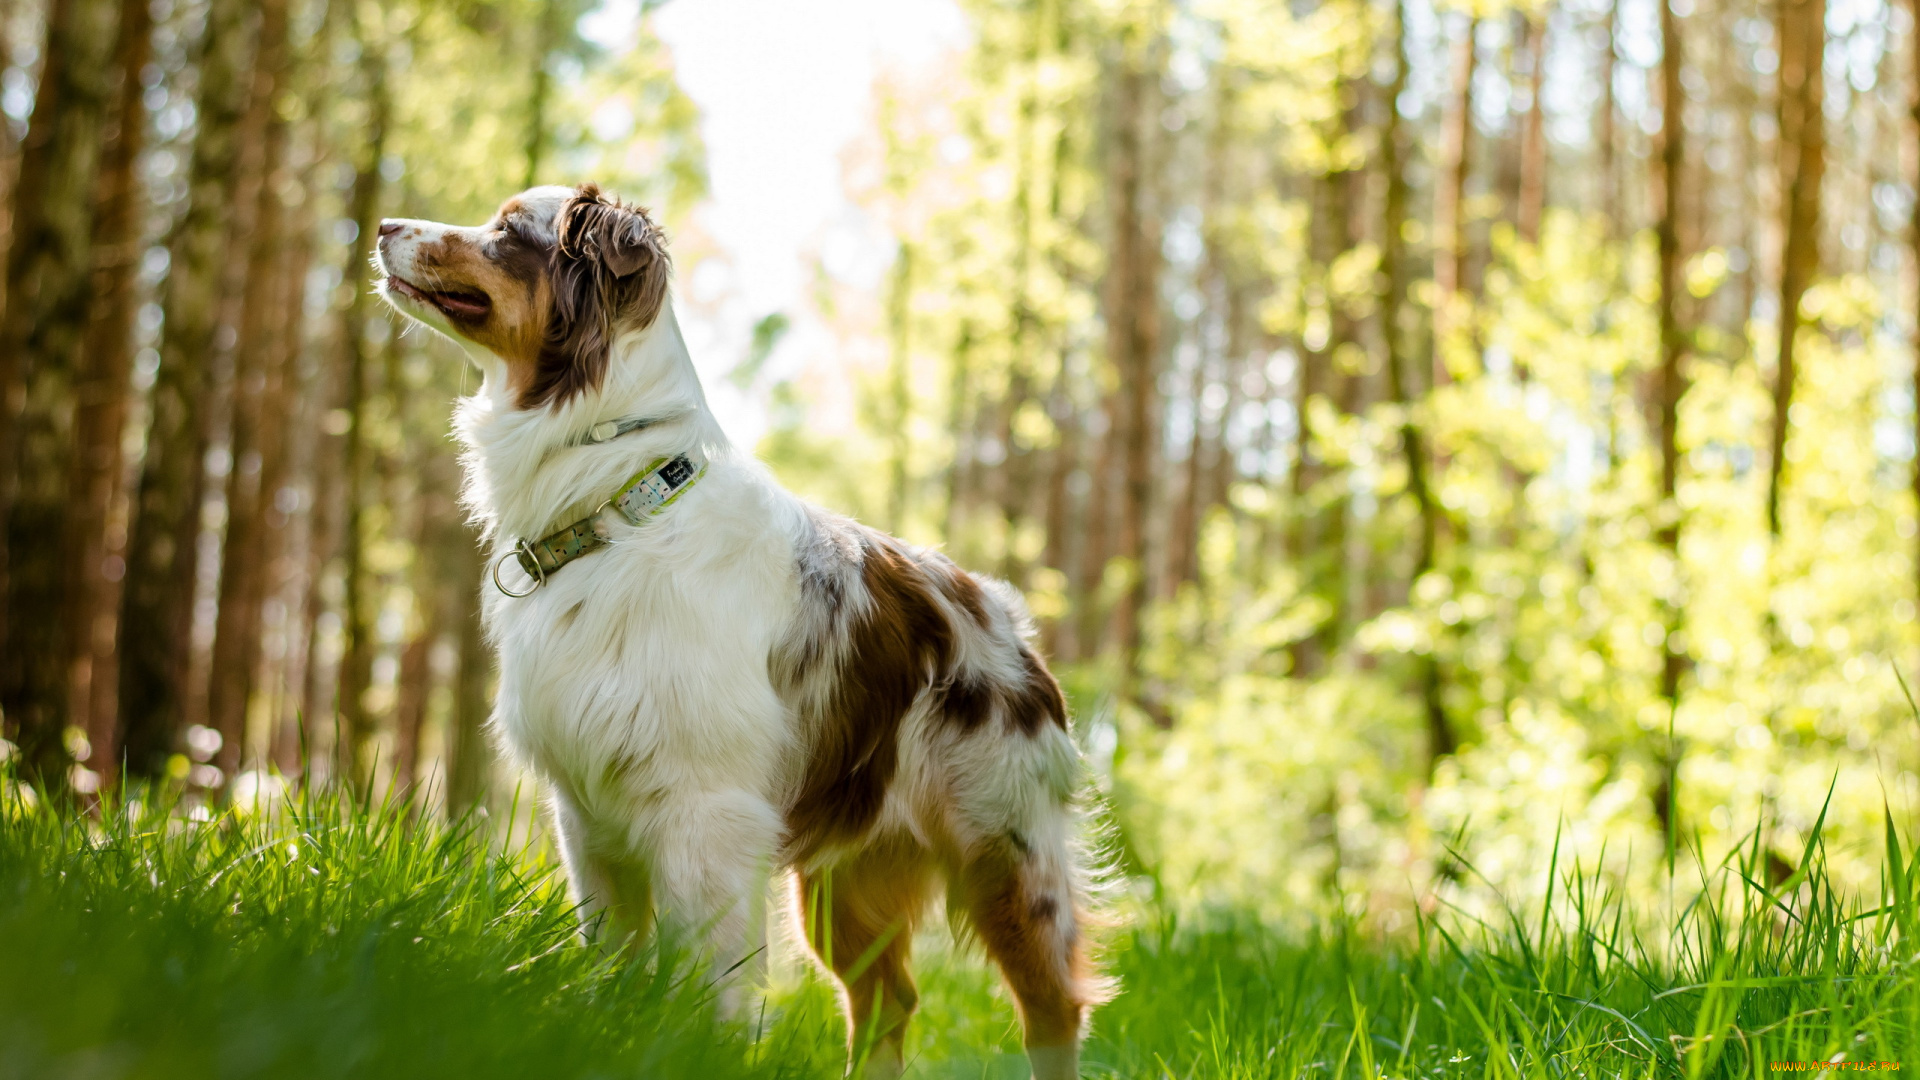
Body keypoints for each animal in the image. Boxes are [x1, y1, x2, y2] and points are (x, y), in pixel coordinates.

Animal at [370, 187, 1113, 1076]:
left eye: (509, 231)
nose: (382, 225)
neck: (618, 502)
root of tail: (1005, 616)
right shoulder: (588, 819)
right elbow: (612, 967)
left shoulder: (707, 817)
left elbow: (704, 988)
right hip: (843, 882)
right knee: (889, 1002)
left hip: (1005, 857)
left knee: (1052, 1009)